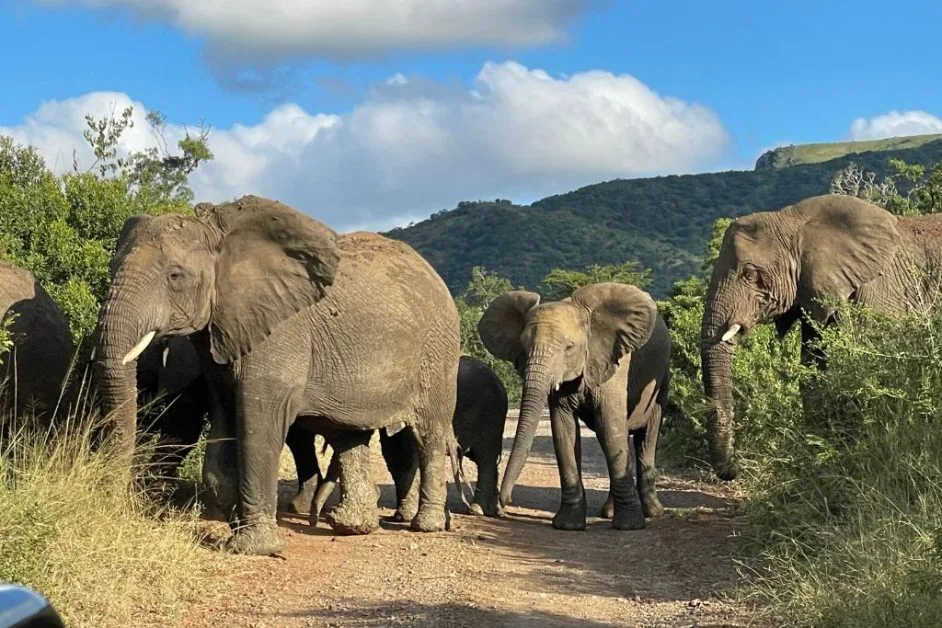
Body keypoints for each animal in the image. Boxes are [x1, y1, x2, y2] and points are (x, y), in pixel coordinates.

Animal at [95, 194, 461, 555]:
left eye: (175, 276)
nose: (118, 506)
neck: (222, 240)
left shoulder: (280, 333)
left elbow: (258, 422)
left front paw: (253, 546)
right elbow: (224, 421)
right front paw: (234, 523)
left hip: (439, 351)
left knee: (428, 433)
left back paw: (424, 525)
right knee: (349, 434)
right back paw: (351, 525)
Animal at [293, 354, 509, 521]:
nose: (315, 518)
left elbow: (407, 456)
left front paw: (403, 516)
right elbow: (395, 455)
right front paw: (401, 516)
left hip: (492, 414)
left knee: (485, 458)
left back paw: (478, 510)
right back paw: (493, 510)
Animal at [478, 282, 671, 531]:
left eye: (569, 347)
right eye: (523, 346)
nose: (503, 504)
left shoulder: (611, 366)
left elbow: (611, 429)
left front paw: (628, 526)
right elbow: (564, 432)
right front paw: (568, 525)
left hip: (661, 380)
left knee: (645, 436)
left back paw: (652, 512)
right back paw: (609, 512)